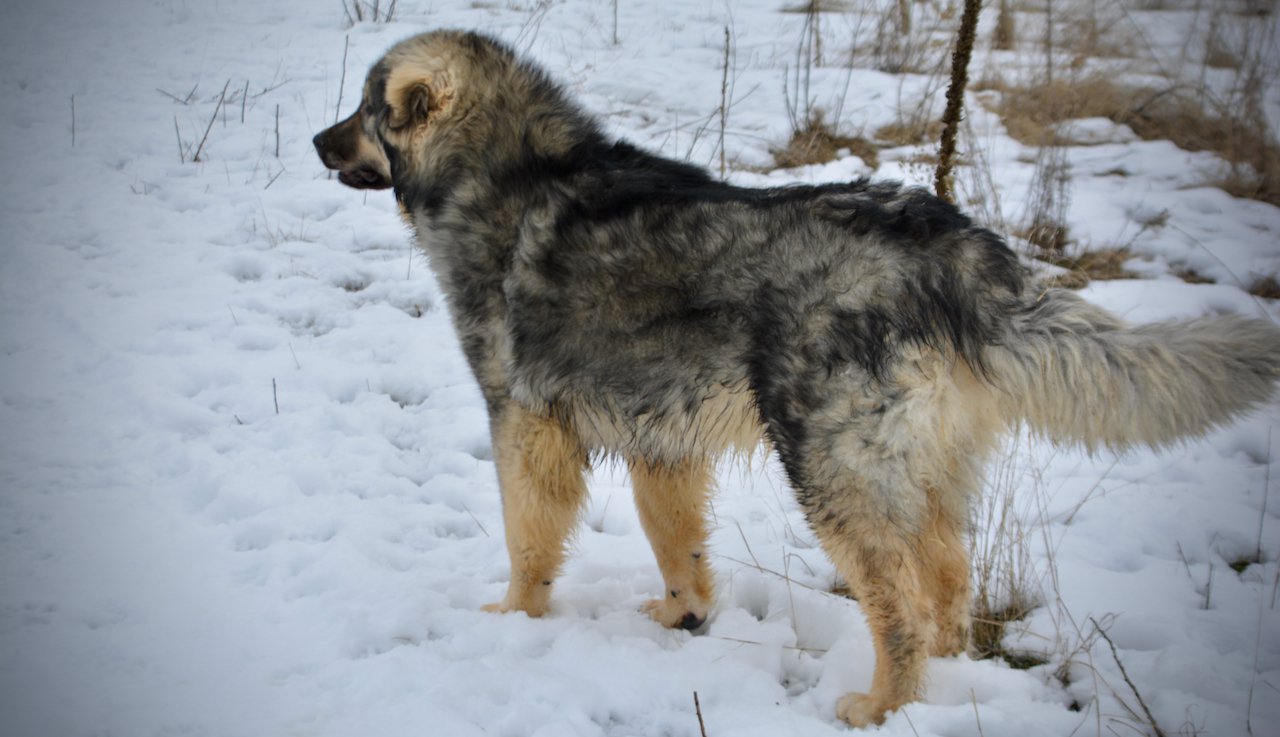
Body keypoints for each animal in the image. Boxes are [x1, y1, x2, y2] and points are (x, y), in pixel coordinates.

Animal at [312, 28, 1280, 726]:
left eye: (362, 108)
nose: (318, 140)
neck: (510, 166)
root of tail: (947, 244)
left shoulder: (521, 420)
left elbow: (528, 540)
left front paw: (514, 618)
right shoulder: (663, 443)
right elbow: (676, 544)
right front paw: (686, 616)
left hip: (832, 466)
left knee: (897, 603)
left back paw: (879, 707)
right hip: (919, 472)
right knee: (948, 583)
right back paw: (943, 685)